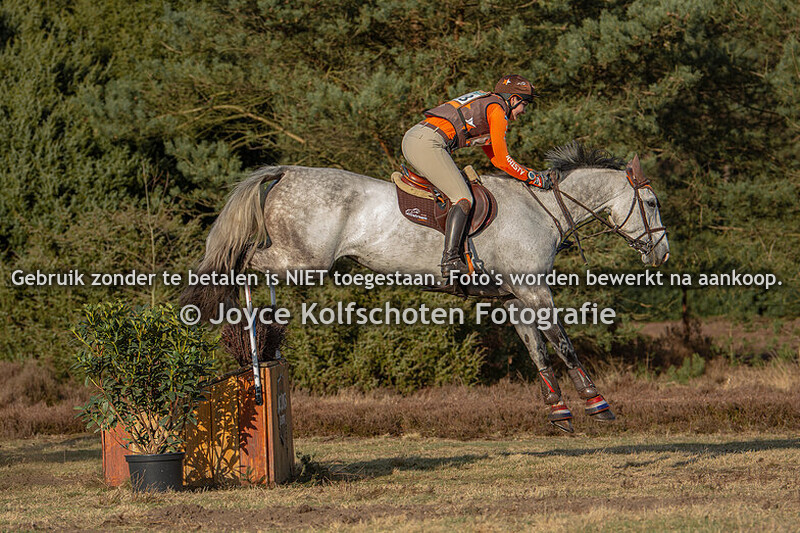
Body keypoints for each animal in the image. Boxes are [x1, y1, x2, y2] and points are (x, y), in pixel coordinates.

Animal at [181, 142, 669, 432]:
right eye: (650, 202)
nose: (662, 254)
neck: (541, 210)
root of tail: (284, 172)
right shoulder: (535, 293)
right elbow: (563, 345)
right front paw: (597, 403)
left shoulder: (515, 299)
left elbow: (538, 353)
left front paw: (559, 412)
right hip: (304, 261)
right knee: (238, 261)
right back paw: (250, 334)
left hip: (300, 261)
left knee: (248, 265)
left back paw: (264, 337)